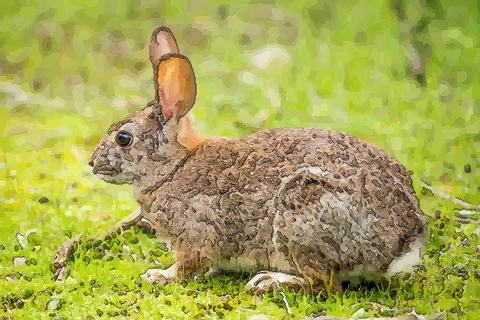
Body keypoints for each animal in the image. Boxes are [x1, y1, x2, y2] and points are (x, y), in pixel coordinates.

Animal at [53, 26, 428, 292]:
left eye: (124, 138)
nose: (92, 163)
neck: (173, 168)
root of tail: (403, 239)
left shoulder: (196, 233)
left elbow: (187, 264)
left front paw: (159, 275)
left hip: (302, 214)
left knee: (324, 283)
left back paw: (269, 282)